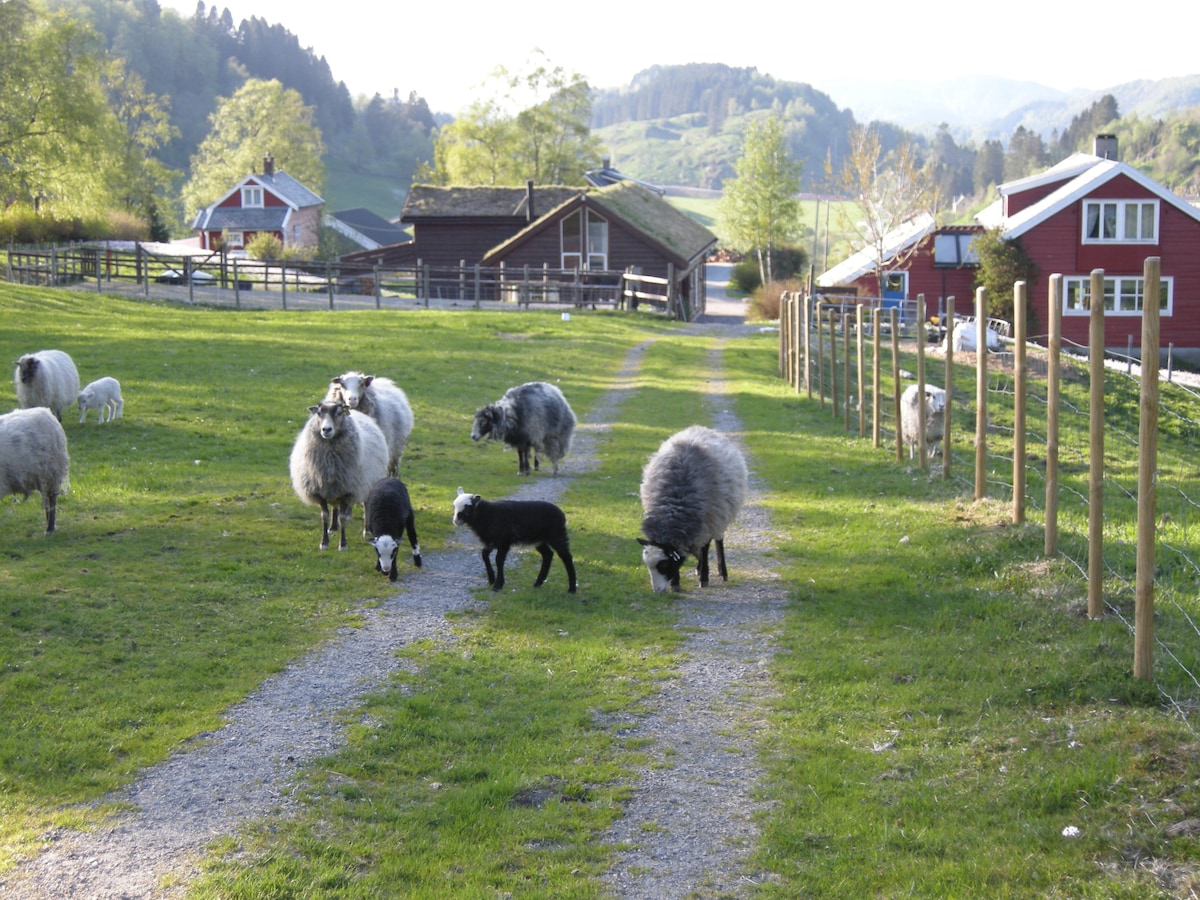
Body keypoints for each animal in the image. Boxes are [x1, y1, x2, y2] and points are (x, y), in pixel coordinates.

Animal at [288, 400, 386, 549]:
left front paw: (343, 544)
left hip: (368, 483)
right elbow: (324, 515)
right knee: (335, 506)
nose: (326, 430)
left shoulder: (348, 490)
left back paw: (367, 530)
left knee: (366, 504)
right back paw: (333, 528)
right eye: (318, 413)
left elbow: (342, 517)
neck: (330, 461)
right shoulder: (320, 490)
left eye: (339, 413)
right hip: (335, 488)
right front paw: (324, 542)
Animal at [633, 427, 744, 595]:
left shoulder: (709, 520)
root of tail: (699, 428)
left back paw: (722, 572)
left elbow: (705, 549)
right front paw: (676, 583)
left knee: (719, 541)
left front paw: (704, 579)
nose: (657, 591)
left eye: (664, 565)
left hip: (721, 513)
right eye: (648, 565)